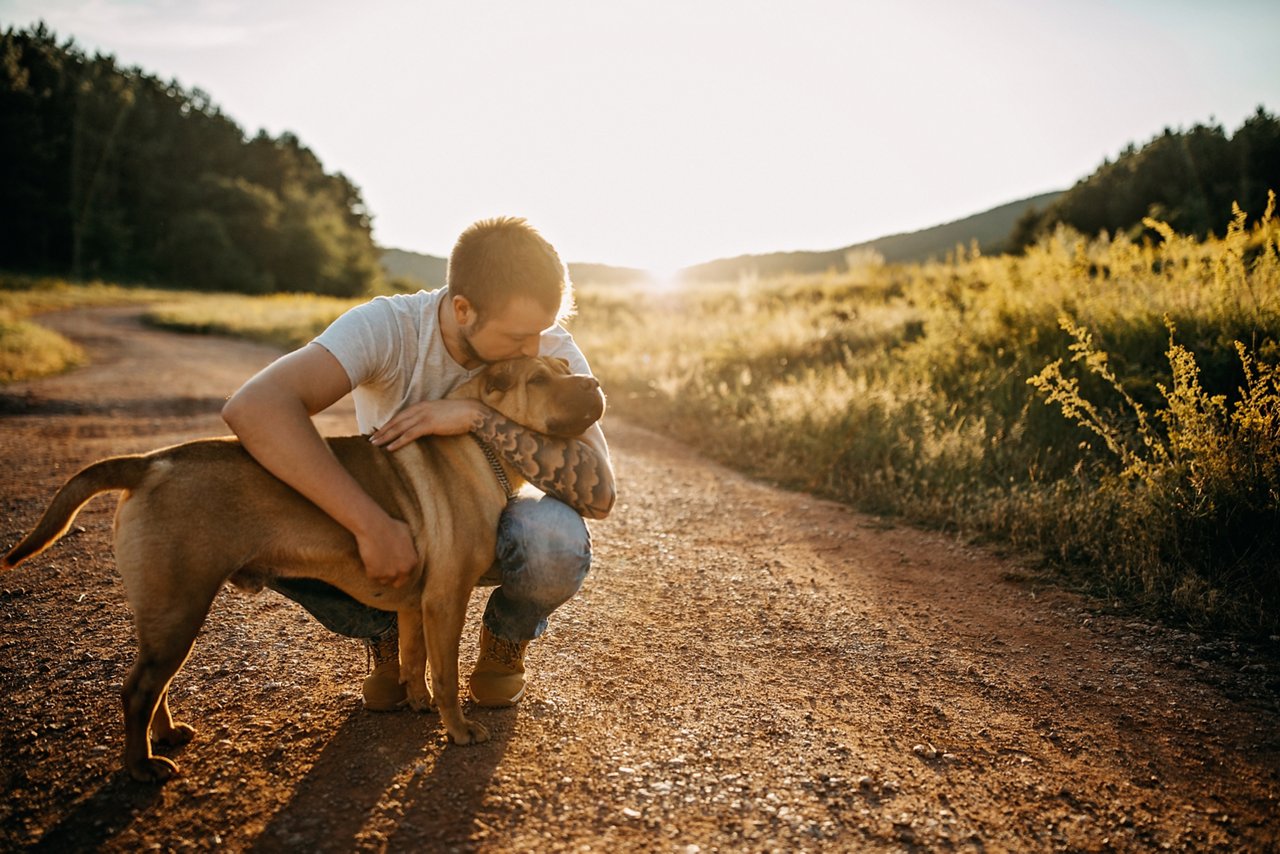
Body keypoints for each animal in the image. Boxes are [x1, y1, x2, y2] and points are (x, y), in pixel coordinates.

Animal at [2, 353, 601, 783]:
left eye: (566, 368)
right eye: (541, 379)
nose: (594, 383)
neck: (482, 445)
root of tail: (151, 462)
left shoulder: (417, 604)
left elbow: (414, 660)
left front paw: (417, 702)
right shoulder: (445, 599)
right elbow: (447, 672)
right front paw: (456, 728)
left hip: (169, 616)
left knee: (153, 685)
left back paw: (164, 737)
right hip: (178, 608)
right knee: (136, 690)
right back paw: (140, 767)